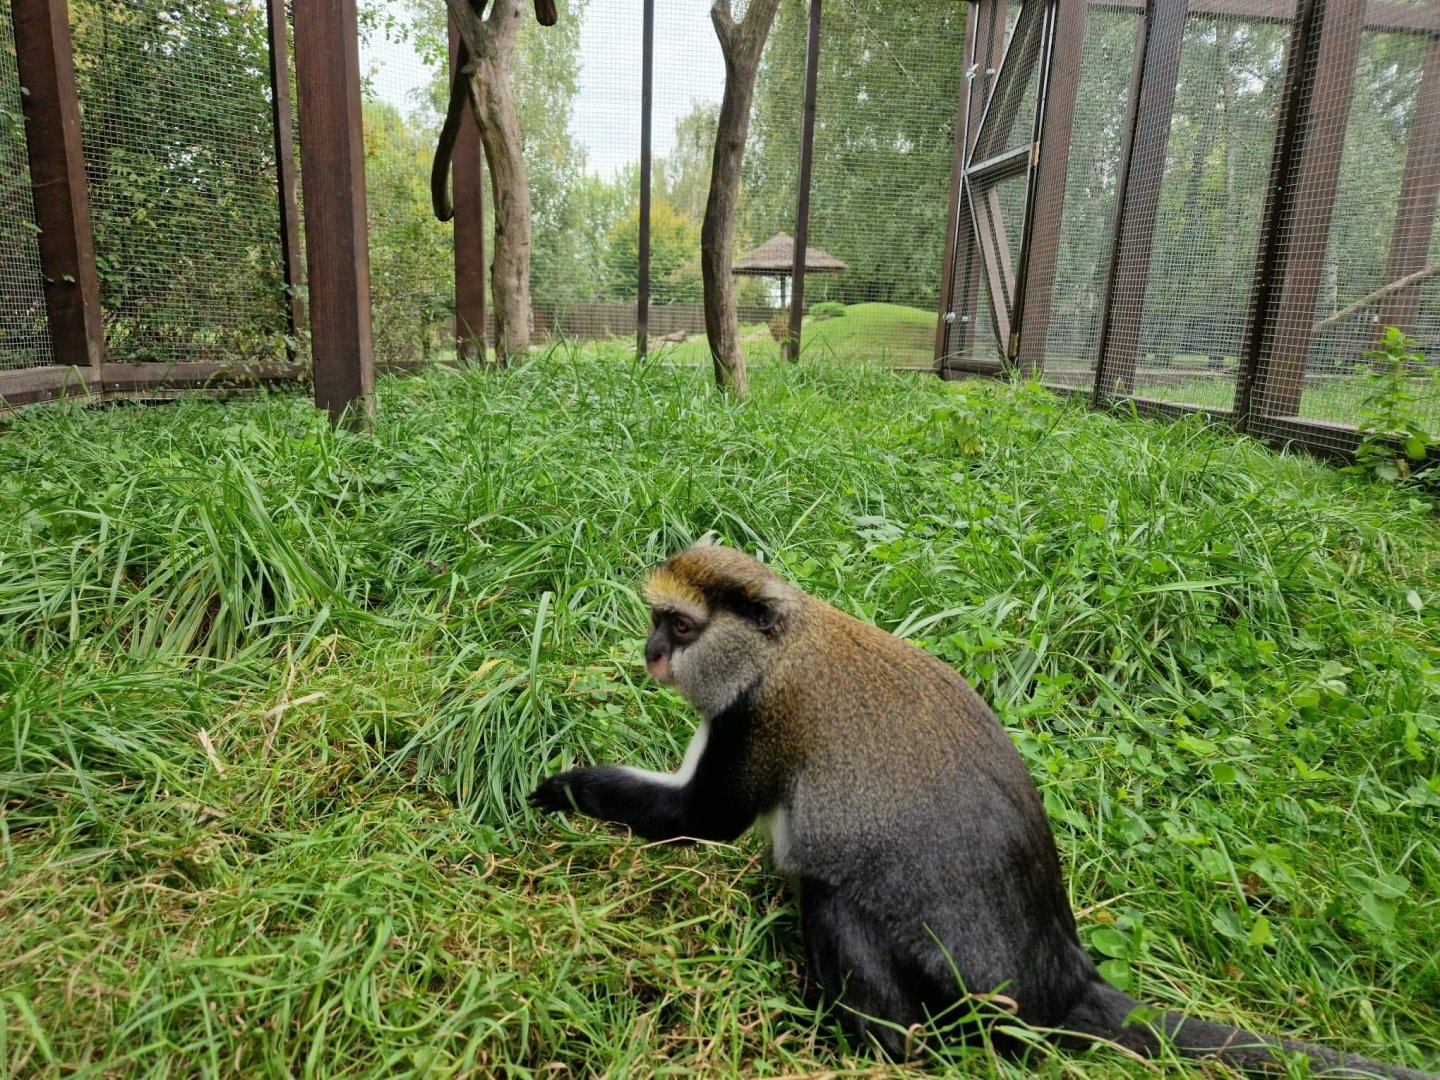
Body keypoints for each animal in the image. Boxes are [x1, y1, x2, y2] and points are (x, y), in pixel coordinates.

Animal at [528, 542, 1435, 1077]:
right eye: (657, 621)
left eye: (680, 628)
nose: (651, 653)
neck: (781, 644)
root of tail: (1061, 981)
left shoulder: (756, 720)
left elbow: (700, 819)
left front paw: (560, 787)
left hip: (963, 994)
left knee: (835, 904)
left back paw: (875, 1047)